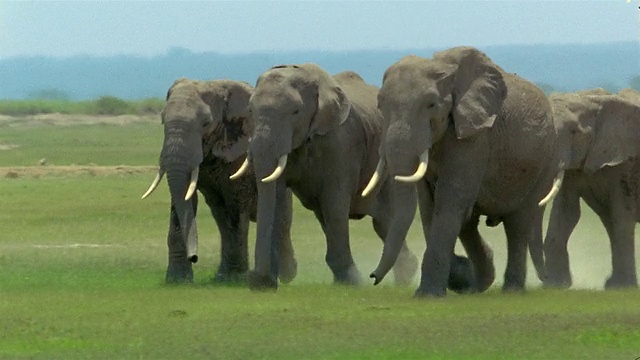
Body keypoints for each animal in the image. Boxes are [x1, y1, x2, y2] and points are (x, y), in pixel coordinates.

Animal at [141, 79, 296, 284]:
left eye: (206, 123)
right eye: (162, 121)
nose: (194, 257)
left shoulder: (240, 150)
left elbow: (236, 208)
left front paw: (235, 280)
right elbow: (184, 200)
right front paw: (178, 281)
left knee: (279, 219)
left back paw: (285, 277)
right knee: (221, 215)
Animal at [364, 46, 560, 296]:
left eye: (431, 104)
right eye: (380, 105)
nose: (373, 277)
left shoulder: (475, 136)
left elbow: (449, 200)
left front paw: (428, 295)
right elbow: (429, 206)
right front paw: (459, 275)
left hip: (546, 161)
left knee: (518, 223)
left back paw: (511, 290)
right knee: (470, 223)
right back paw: (478, 282)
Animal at [544, 88, 640, 288]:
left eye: (574, 132)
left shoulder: (625, 163)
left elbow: (622, 215)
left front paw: (624, 287)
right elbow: (566, 212)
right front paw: (555, 285)